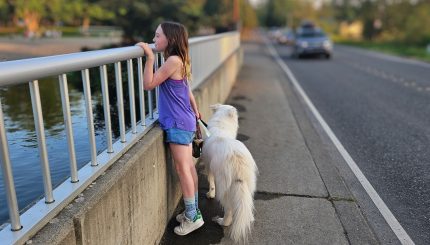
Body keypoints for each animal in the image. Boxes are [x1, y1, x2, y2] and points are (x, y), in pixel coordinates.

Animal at [202, 103, 258, 243]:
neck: (221, 126)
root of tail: (236, 159)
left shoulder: (209, 166)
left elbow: (210, 182)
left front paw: (210, 194)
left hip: (224, 187)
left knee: (229, 209)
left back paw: (222, 221)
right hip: (248, 184)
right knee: (246, 204)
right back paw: (249, 217)